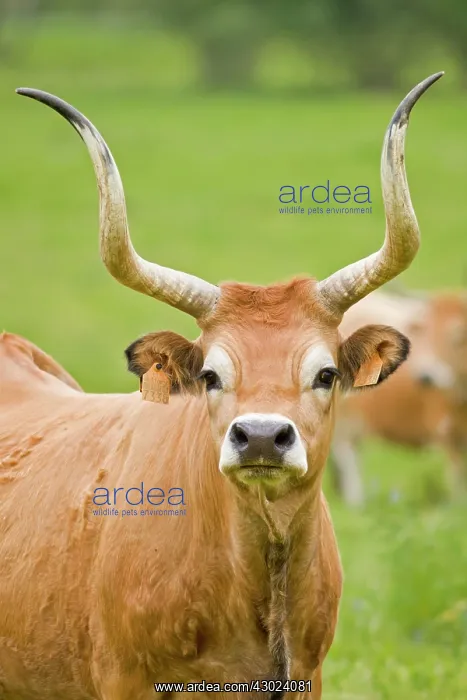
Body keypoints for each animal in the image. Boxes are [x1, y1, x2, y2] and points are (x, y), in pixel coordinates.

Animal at [330, 289, 467, 505]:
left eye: (458, 335)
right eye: (424, 332)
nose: (426, 377)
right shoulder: (445, 430)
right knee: (348, 461)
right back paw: (356, 503)